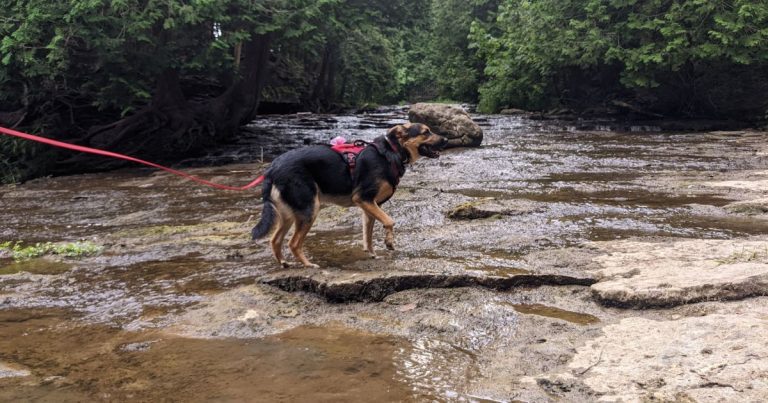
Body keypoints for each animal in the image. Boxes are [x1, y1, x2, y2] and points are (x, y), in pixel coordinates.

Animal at [252, 123, 448, 268]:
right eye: (426, 132)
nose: (446, 140)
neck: (392, 152)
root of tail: (272, 169)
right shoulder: (363, 198)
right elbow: (389, 221)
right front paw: (389, 242)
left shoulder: (370, 206)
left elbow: (367, 236)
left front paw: (372, 254)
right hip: (309, 209)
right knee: (293, 243)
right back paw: (309, 265)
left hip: (290, 213)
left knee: (275, 240)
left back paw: (284, 263)